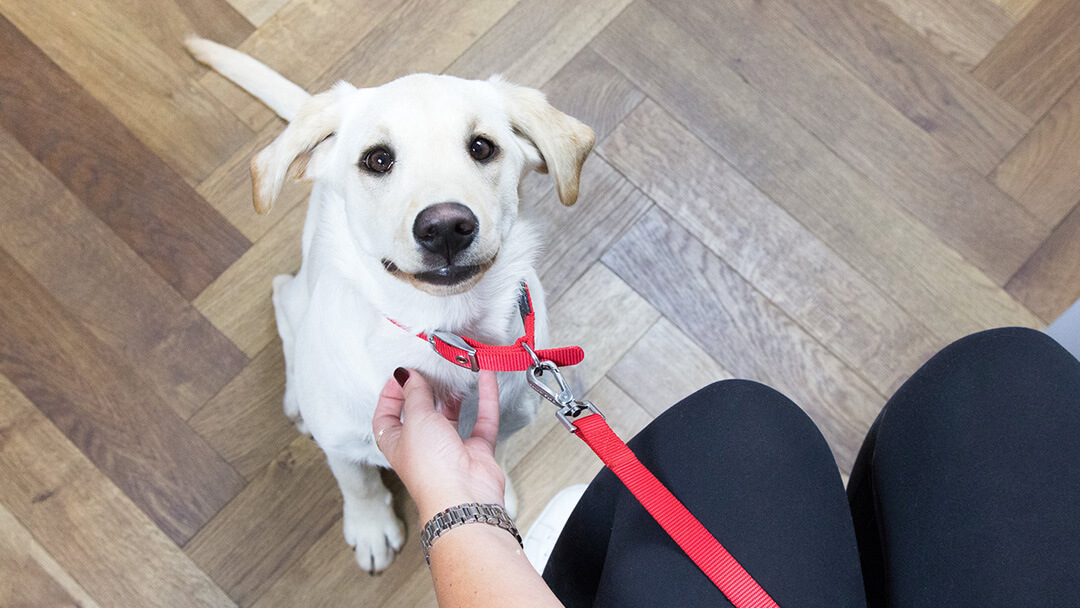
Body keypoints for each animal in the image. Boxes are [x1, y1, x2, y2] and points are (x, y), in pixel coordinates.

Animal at [185, 39, 591, 574]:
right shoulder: (343, 442)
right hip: (300, 293)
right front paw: (371, 527)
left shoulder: (506, 422)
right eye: (377, 159)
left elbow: (493, 452)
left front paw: (495, 493)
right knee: (282, 300)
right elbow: (357, 482)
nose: (446, 227)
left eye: (482, 147)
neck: (445, 333)